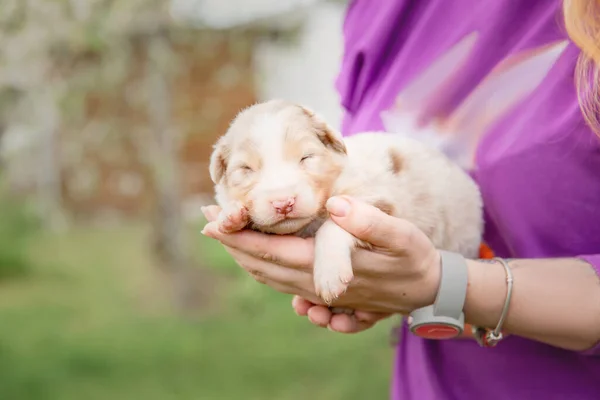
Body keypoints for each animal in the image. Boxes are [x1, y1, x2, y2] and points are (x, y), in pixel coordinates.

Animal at [206, 99, 482, 304]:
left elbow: (333, 226)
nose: (283, 203)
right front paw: (231, 215)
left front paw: (329, 275)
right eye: (246, 169)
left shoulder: (378, 201)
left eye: (306, 157)